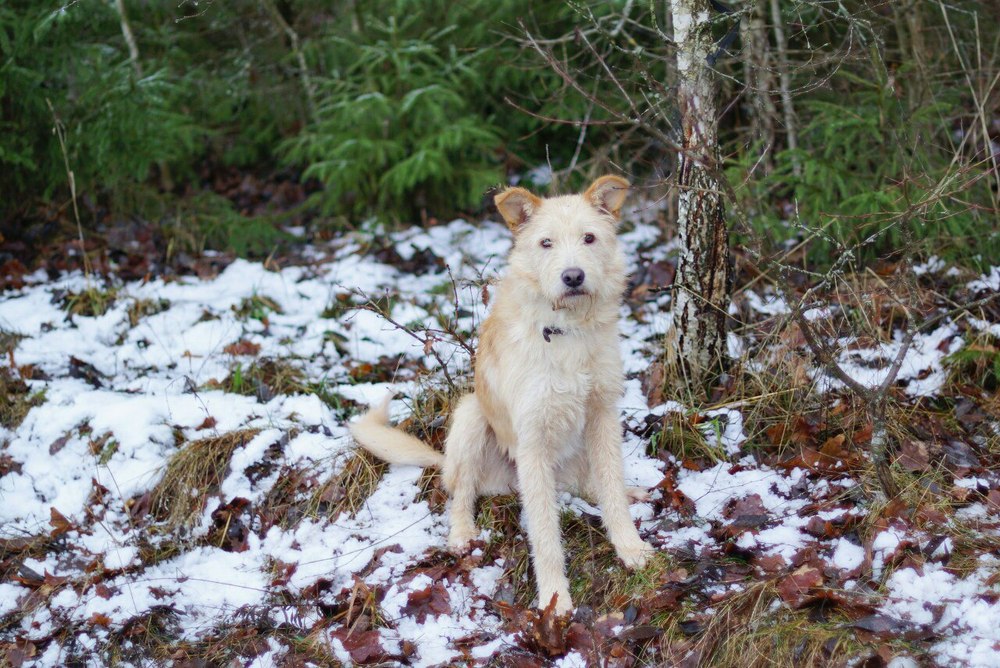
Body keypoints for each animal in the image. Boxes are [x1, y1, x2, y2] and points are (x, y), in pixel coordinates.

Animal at [348, 175, 652, 612]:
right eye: (546, 243)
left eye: (590, 238)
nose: (573, 277)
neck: (567, 332)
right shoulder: (532, 438)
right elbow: (543, 532)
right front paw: (555, 599)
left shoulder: (603, 415)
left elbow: (611, 488)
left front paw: (630, 547)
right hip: (472, 419)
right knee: (460, 492)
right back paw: (461, 534)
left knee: (591, 485)